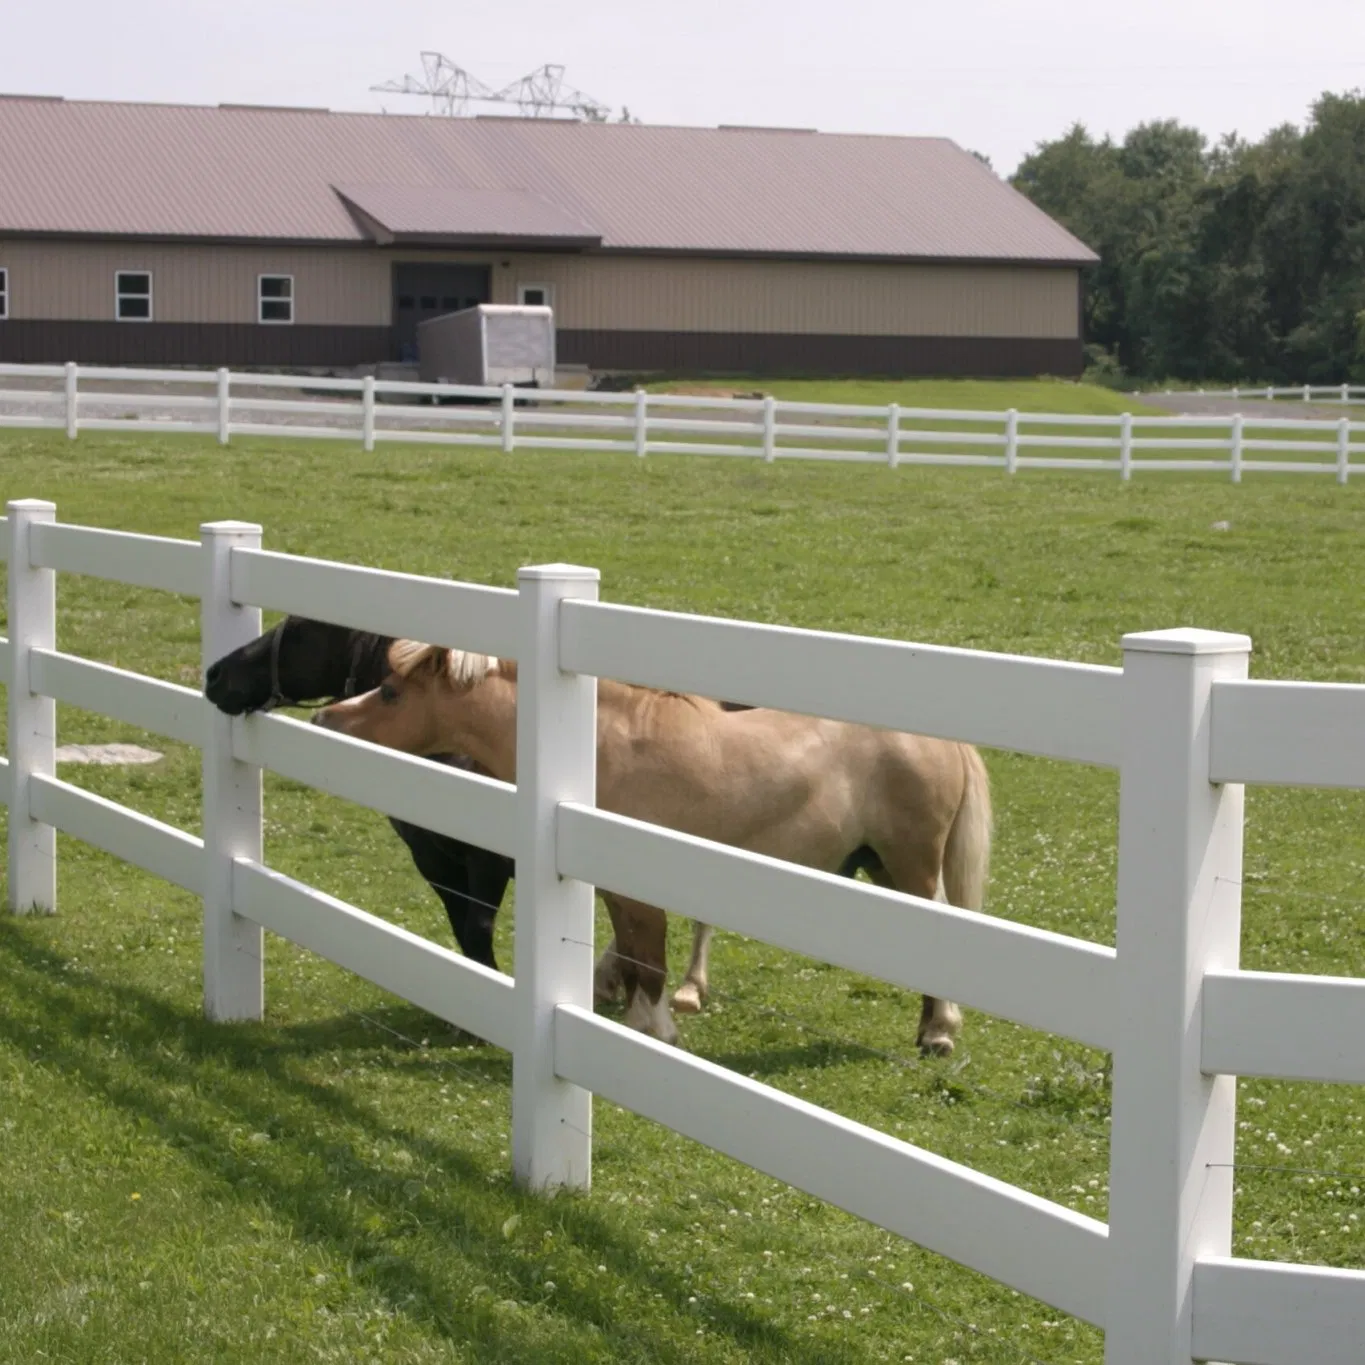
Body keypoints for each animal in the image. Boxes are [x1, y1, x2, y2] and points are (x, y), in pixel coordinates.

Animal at [202, 616, 728, 1008]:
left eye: (299, 629)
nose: (216, 676)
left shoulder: (486, 860)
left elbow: (477, 928)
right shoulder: (433, 859)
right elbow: (461, 929)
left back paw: (686, 988)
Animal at [311, 641, 993, 1056]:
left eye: (391, 692)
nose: (325, 720)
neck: (598, 748)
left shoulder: (640, 892)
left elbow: (652, 962)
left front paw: (657, 1029)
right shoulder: (615, 889)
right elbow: (636, 959)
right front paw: (640, 1021)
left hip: (908, 863)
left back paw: (937, 1033)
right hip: (883, 865)